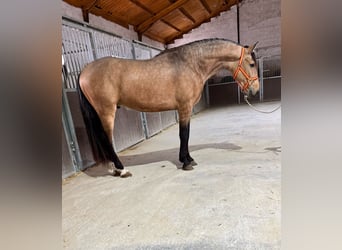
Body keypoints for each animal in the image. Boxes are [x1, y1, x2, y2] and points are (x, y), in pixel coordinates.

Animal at [77, 38, 260, 177]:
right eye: (251, 64)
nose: (255, 90)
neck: (190, 64)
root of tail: (85, 70)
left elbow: (186, 134)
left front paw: (189, 159)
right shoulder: (184, 107)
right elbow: (184, 135)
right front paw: (186, 162)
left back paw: (112, 168)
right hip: (107, 112)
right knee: (106, 140)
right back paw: (121, 169)